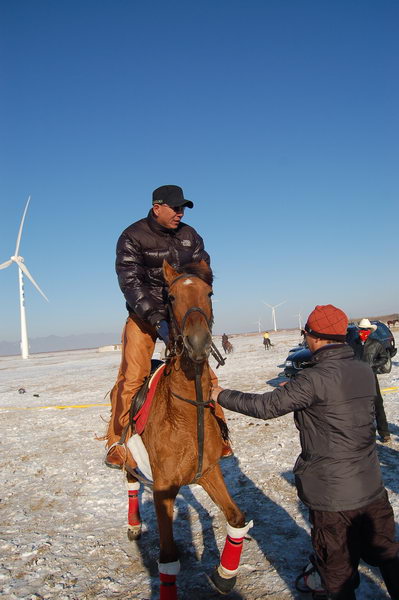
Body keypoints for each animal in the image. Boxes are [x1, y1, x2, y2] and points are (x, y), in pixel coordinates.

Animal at [125, 262, 252, 600]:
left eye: (209, 293)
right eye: (169, 296)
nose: (197, 342)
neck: (185, 413)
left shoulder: (208, 471)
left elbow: (236, 518)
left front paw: (225, 576)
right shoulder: (163, 488)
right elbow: (168, 558)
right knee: (130, 482)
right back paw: (133, 525)